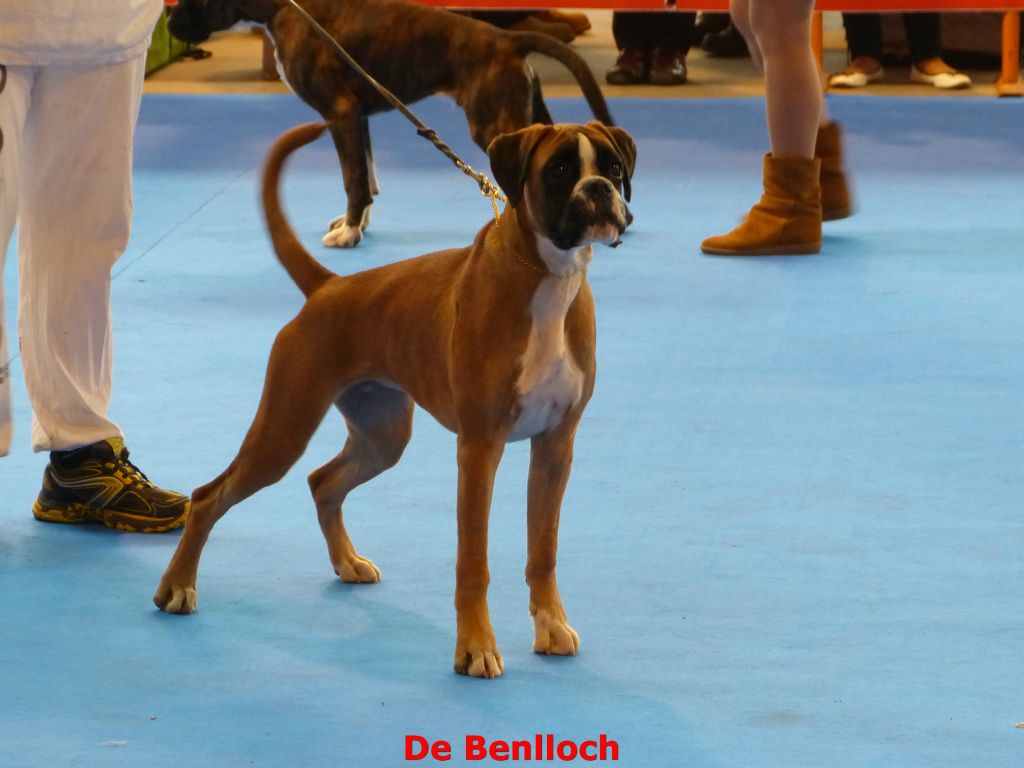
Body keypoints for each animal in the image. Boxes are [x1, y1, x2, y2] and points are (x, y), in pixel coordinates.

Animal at [154, 120, 635, 678]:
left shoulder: (555, 447)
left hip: (382, 436)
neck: (547, 277)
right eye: (559, 170)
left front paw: (552, 627)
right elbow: (473, 562)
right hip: (283, 429)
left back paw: (347, 562)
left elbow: (544, 550)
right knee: (210, 496)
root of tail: (330, 286)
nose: (598, 189)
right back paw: (177, 587)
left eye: (613, 167)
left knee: (323, 482)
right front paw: (475, 647)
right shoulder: (480, 449)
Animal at [168, 0, 615, 249]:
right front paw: (358, 224)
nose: (170, 23)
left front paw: (349, 234)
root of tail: (508, 39)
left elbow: (353, 179)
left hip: (493, 125)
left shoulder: (340, 114)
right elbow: (366, 175)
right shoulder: (358, 118)